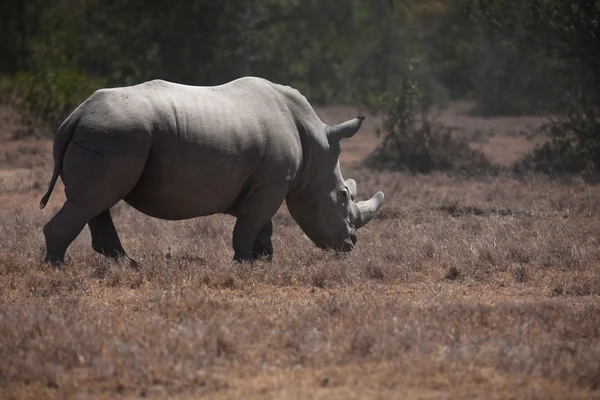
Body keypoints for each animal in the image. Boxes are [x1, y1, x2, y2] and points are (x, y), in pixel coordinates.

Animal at [39, 77, 384, 266]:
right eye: (343, 194)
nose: (350, 244)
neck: (315, 144)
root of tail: (75, 115)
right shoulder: (274, 182)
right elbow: (252, 222)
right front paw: (246, 261)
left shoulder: (265, 182)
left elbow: (262, 223)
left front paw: (265, 259)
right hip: (116, 133)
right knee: (93, 201)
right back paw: (58, 268)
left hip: (105, 134)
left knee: (95, 202)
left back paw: (129, 265)